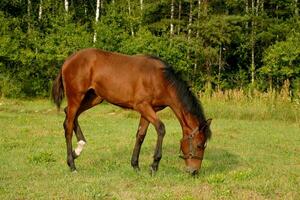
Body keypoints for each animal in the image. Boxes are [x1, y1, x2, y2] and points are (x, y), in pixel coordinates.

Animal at [51, 48, 211, 175]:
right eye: (199, 145)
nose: (194, 171)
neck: (160, 79)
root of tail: (68, 61)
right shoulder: (143, 106)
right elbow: (161, 128)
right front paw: (154, 165)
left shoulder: (148, 110)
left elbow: (141, 135)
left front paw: (135, 165)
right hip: (76, 97)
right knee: (68, 125)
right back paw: (72, 165)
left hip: (93, 98)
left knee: (69, 115)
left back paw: (78, 149)